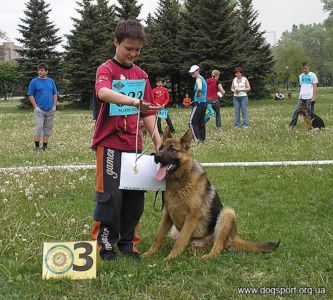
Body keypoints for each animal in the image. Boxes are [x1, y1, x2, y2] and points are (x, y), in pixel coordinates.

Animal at [141, 129, 278, 260]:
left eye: (172, 149)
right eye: (160, 148)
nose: (156, 156)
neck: (180, 182)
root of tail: (233, 237)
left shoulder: (192, 216)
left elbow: (180, 240)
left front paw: (170, 258)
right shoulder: (168, 214)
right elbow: (158, 236)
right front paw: (149, 254)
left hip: (227, 214)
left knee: (218, 247)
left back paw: (207, 256)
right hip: (178, 231)